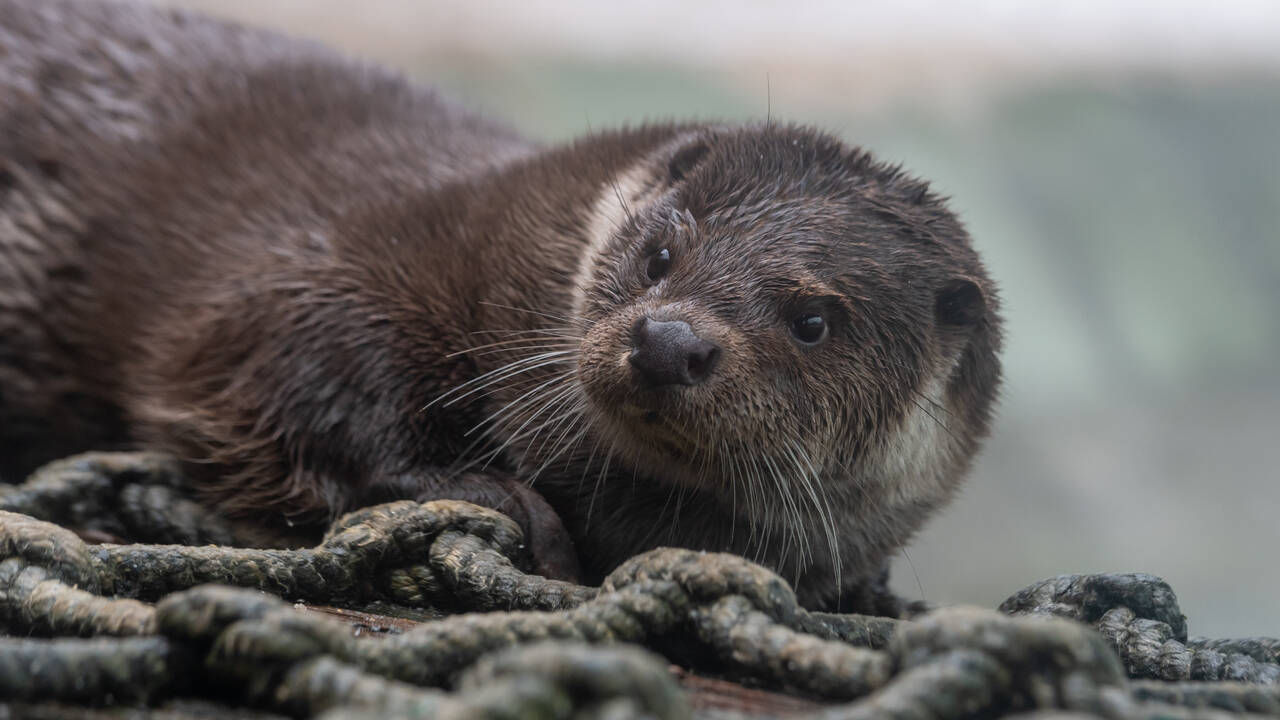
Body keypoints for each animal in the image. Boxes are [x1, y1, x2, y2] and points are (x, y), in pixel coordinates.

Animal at [0, 0, 998, 609]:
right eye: (661, 255)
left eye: (813, 322)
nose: (668, 341)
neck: (498, 249)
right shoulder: (303, 268)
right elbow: (263, 366)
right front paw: (494, 495)